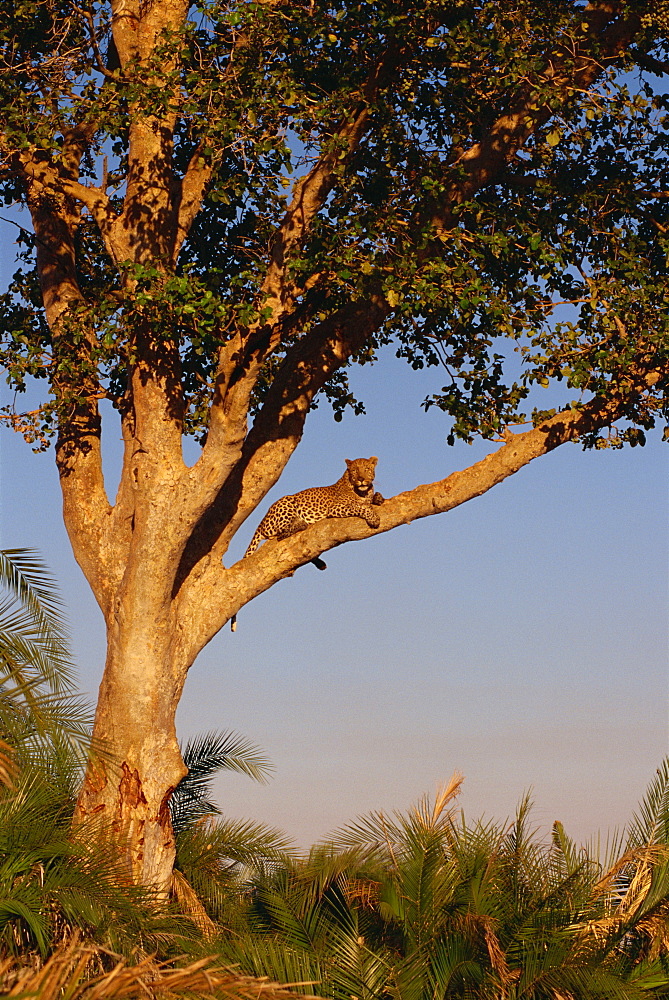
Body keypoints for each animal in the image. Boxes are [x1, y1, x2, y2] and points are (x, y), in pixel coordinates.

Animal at [232, 458, 384, 628]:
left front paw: (378, 498)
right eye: (355, 471)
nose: (361, 479)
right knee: (281, 534)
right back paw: (301, 523)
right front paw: (373, 517)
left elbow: (374, 497)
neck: (362, 491)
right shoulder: (337, 508)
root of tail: (261, 522)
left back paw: (320, 562)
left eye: (366, 469)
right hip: (286, 503)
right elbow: (360, 507)